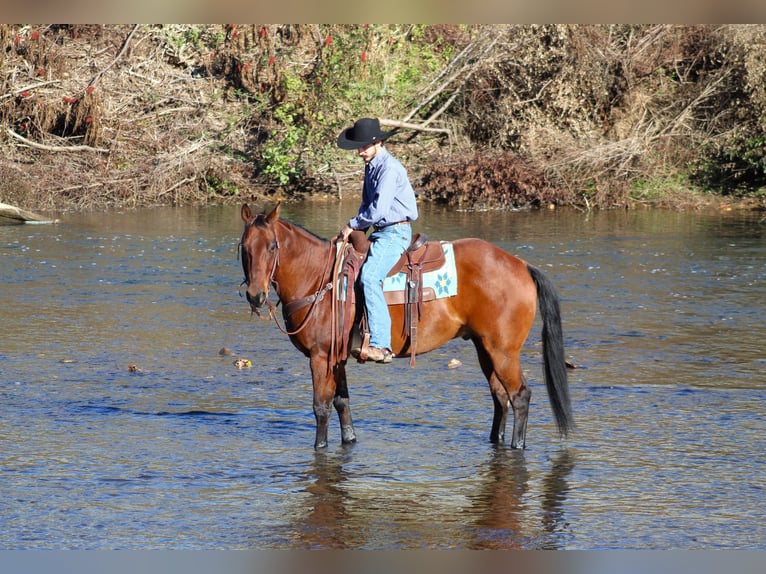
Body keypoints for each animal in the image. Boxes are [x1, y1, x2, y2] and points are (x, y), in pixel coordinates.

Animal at [240, 205, 576, 452]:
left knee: (520, 396)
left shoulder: (320, 356)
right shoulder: (338, 357)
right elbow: (342, 402)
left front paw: (319, 447)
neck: (319, 278)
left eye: (273, 246)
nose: (255, 295)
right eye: (244, 247)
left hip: (503, 351)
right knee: (500, 397)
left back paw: (518, 446)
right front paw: (349, 440)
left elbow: (321, 407)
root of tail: (521, 265)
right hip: (485, 349)